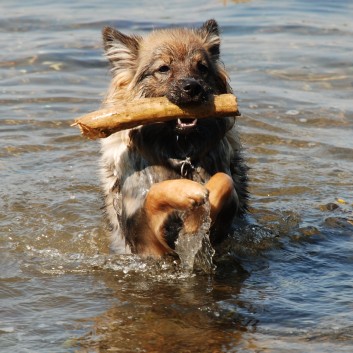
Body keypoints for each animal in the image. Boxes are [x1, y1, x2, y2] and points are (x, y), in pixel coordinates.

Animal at [99, 19, 248, 256]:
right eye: (163, 68)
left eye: (202, 67)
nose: (193, 88)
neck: (179, 153)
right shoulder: (144, 241)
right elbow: (153, 193)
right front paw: (189, 193)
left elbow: (224, 180)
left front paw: (199, 214)